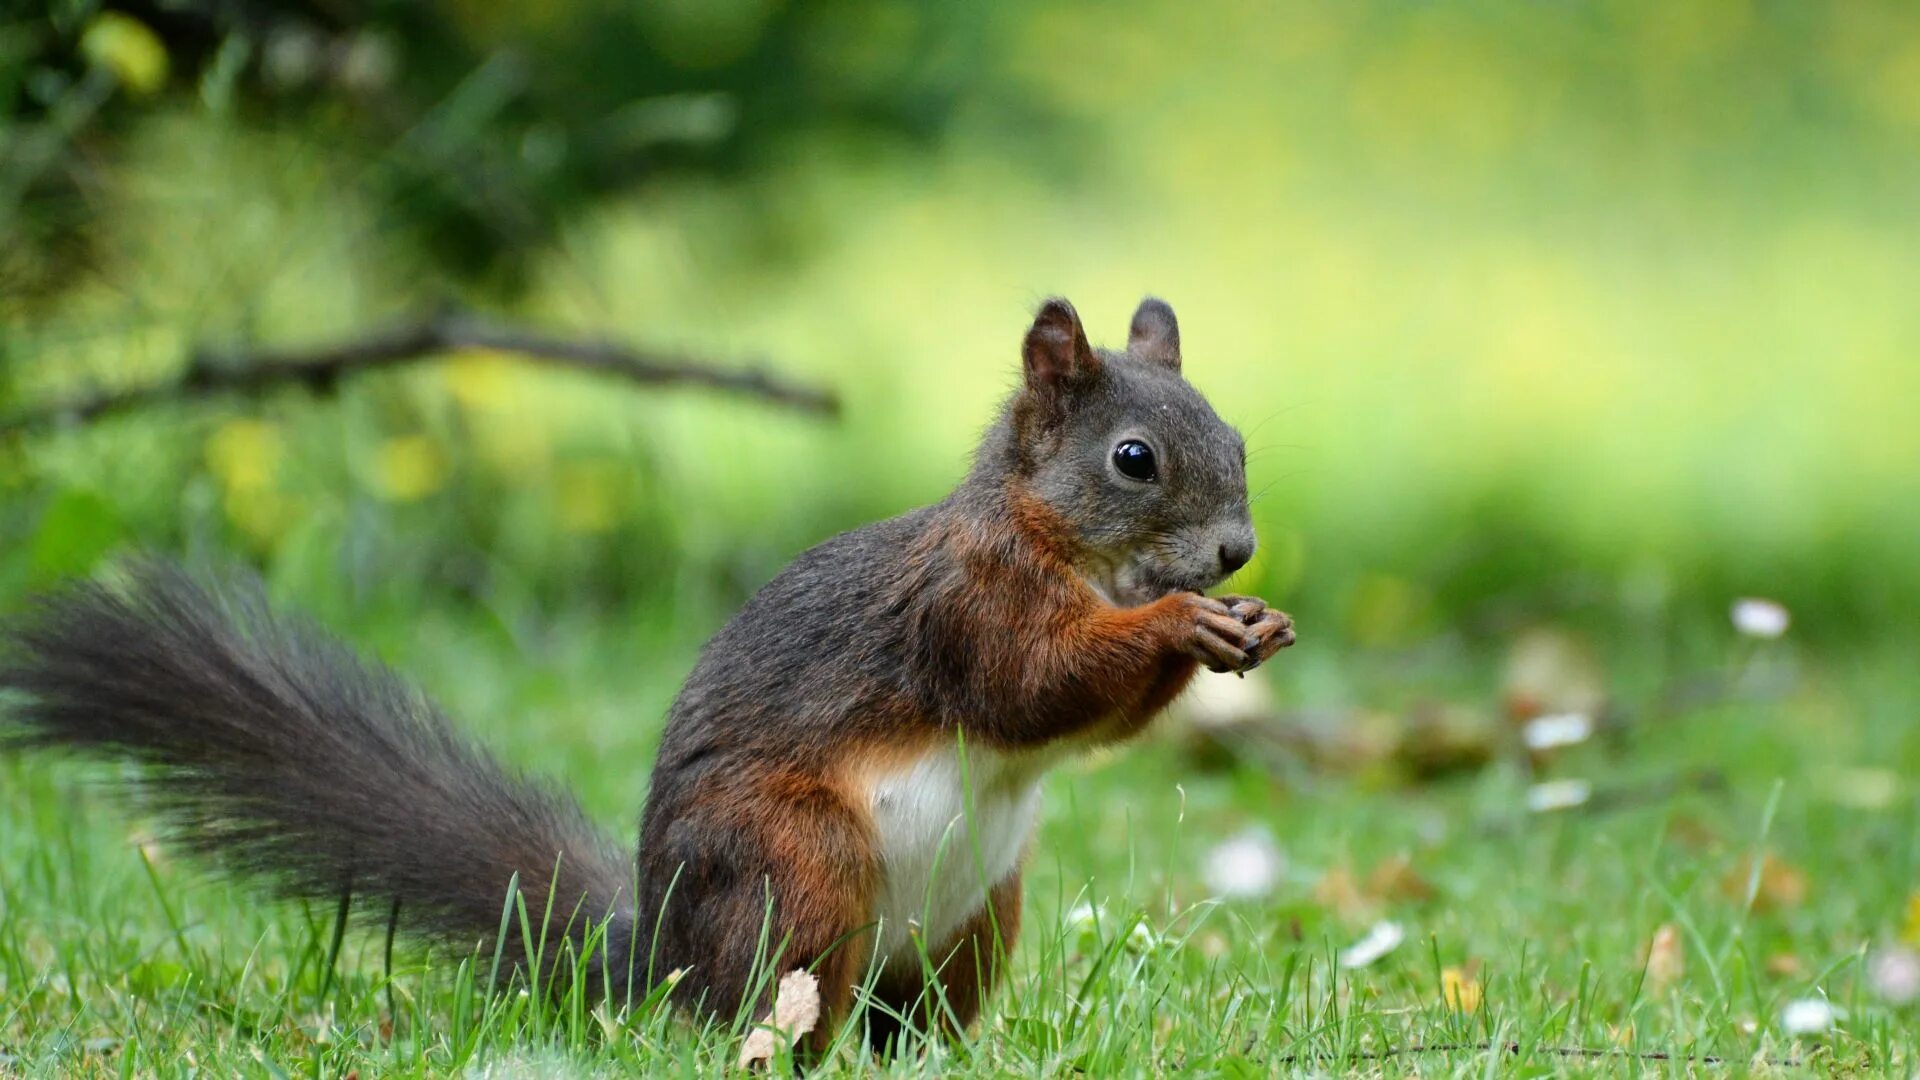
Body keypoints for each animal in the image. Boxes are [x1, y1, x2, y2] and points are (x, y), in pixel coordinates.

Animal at [3, 295, 1290, 1053]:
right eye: (1135, 459)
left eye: (1236, 440)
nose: (1236, 552)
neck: (1061, 547)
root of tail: (663, 964)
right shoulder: (964, 608)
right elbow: (1033, 685)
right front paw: (1184, 623)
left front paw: (1248, 624)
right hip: (796, 865)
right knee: (777, 1006)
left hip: (979, 915)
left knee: (906, 1019)